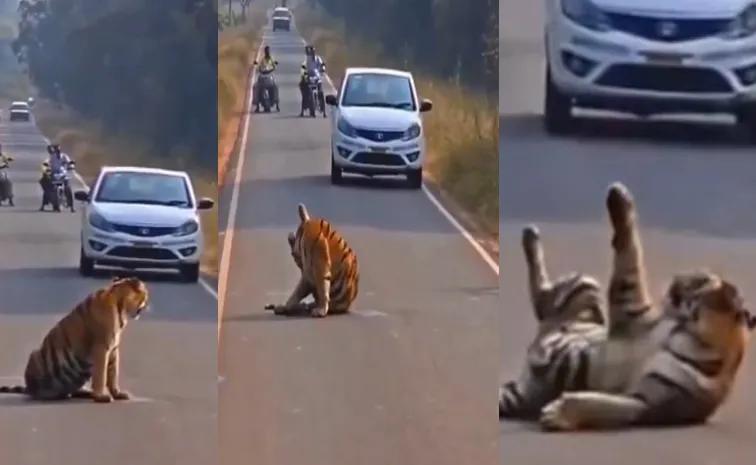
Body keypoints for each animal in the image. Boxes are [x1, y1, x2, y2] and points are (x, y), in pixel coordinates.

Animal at [0, 276, 149, 402]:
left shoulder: (113, 349)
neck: (122, 307)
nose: (148, 302)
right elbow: (101, 375)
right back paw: (50, 393)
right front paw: (101, 396)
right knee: (35, 392)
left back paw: (84, 392)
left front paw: (117, 393)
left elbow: (112, 374)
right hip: (35, 356)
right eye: (146, 294)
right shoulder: (102, 347)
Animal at [535, 182, 756, 431]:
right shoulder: (638, 318)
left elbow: (600, 404)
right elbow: (630, 252)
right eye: (701, 276)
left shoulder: (647, 404)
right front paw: (618, 198)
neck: (687, 335)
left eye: (699, 282)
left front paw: (556, 413)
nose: (675, 280)